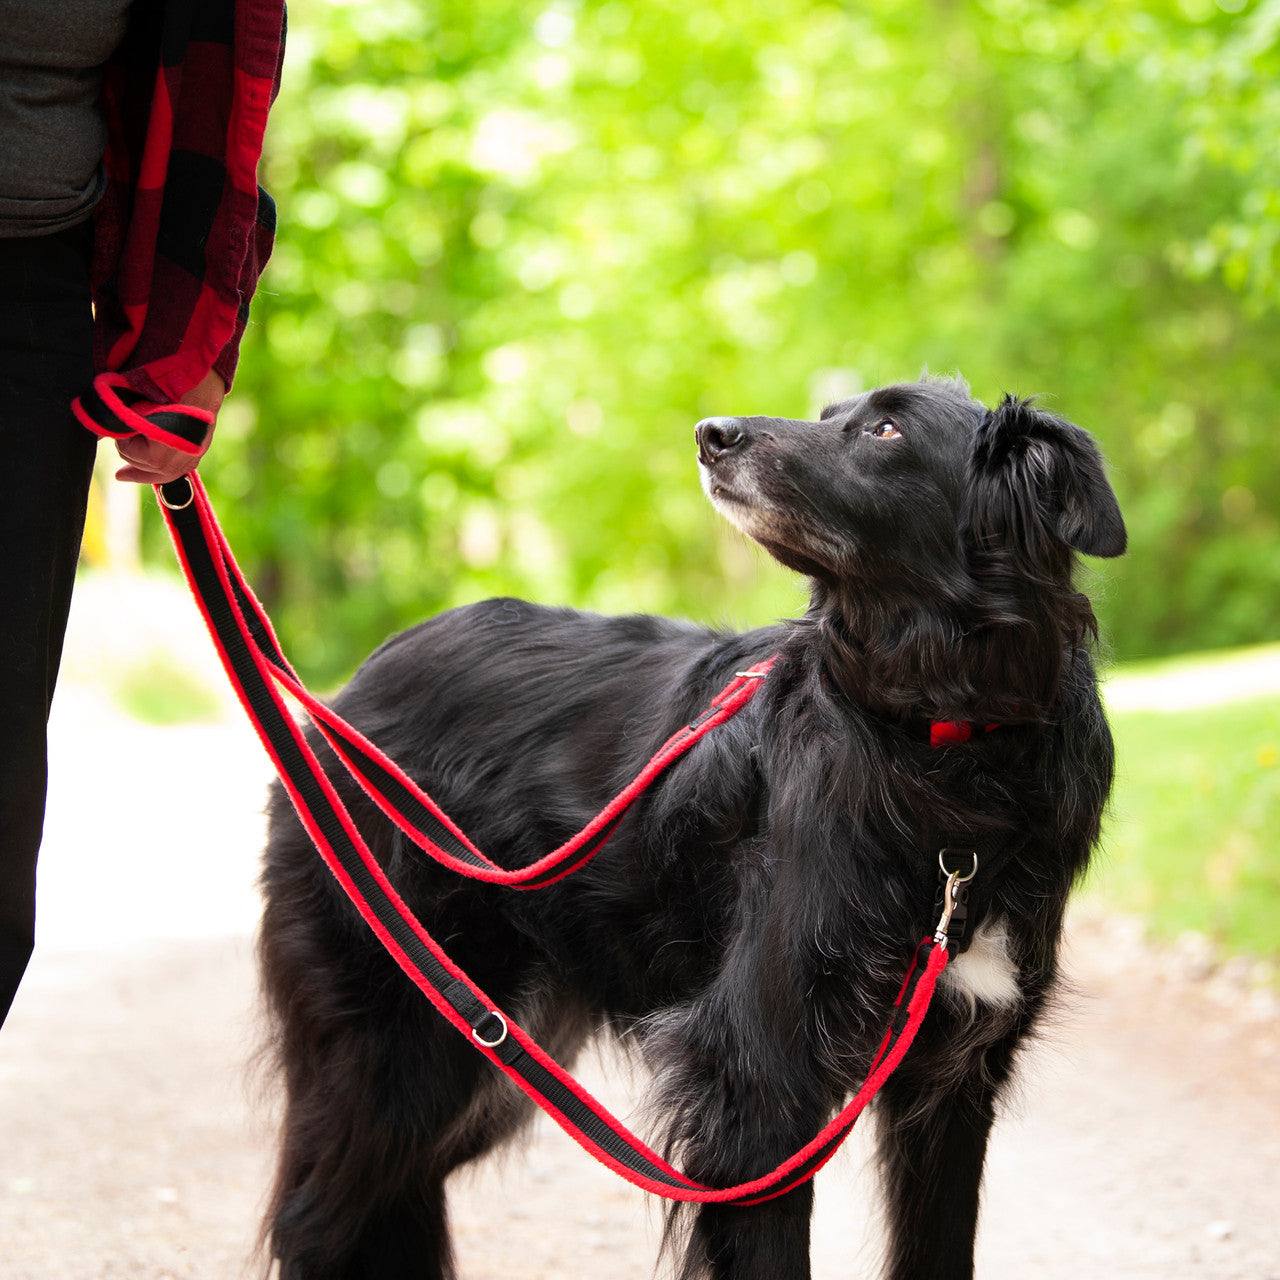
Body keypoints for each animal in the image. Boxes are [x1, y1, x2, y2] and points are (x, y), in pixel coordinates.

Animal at [257, 373, 1121, 1274]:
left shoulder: (953, 1081)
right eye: (829, 416)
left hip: (493, 1046)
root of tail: (353, 687)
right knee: (316, 1218)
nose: (711, 434)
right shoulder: (758, 1085)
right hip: (393, 1047)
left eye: (885, 430)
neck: (942, 745)